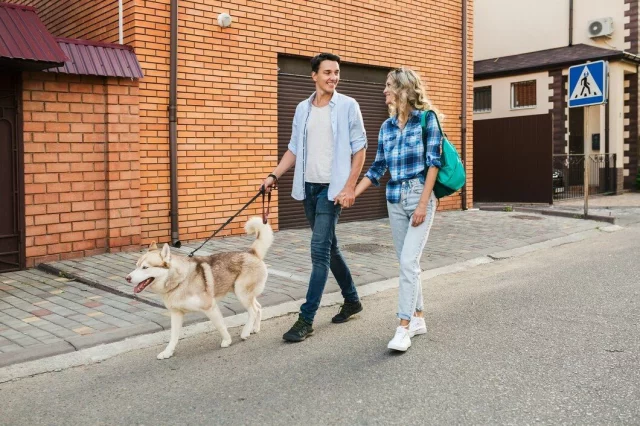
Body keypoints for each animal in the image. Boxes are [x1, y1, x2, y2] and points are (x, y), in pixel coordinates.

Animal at [126, 216, 274, 360]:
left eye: (145, 267)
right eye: (136, 266)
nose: (127, 278)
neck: (181, 281)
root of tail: (251, 253)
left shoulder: (210, 307)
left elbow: (220, 326)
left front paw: (227, 340)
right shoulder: (176, 314)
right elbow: (173, 337)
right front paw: (168, 352)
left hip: (241, 293)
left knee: (253, 311)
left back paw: (245, 332)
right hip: (244, 294)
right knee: (258, 307)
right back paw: (255, 328)